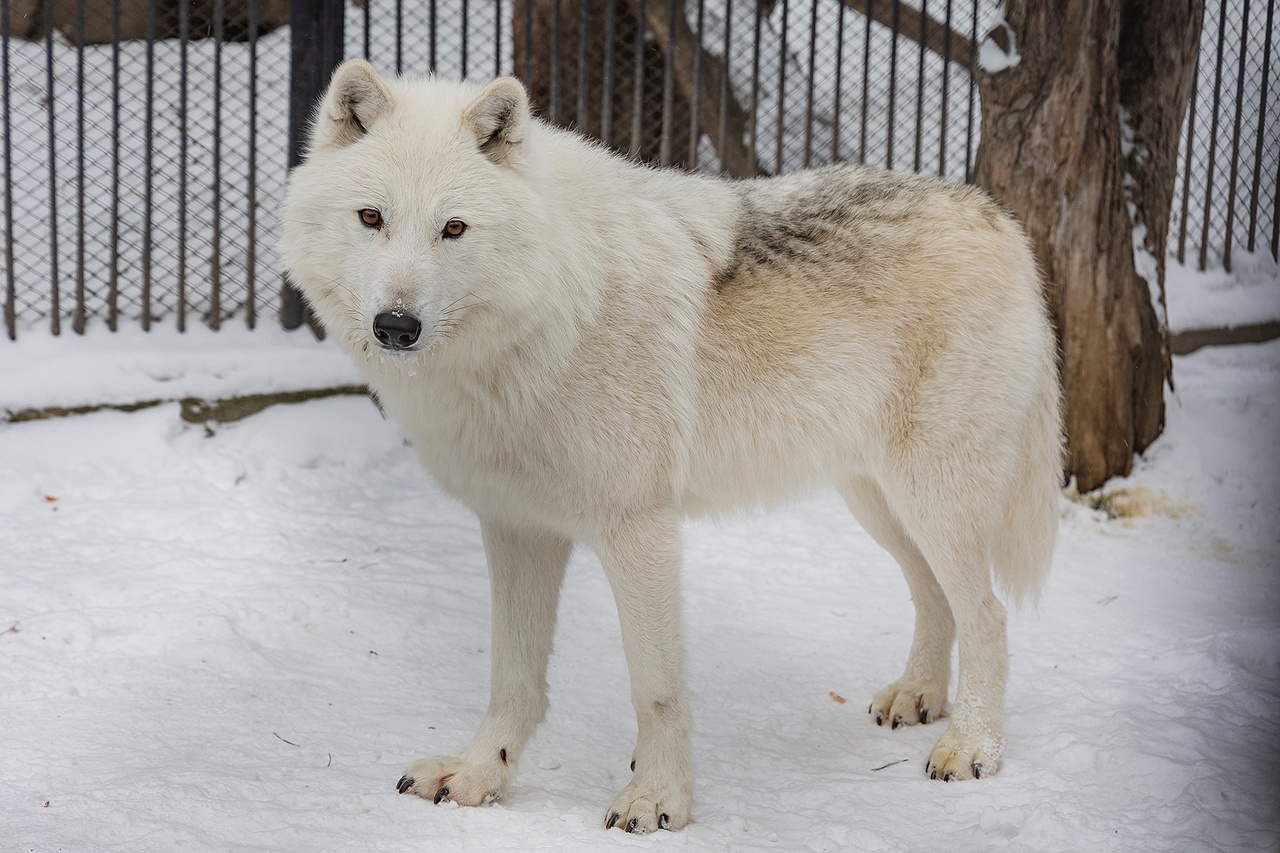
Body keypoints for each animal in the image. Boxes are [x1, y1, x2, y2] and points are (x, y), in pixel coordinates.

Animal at [282, 59, 1059, 829]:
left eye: (453, 228)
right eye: (372, 217)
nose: (396, 325)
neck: (546, 321)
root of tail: (996, 215)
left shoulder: (639, 531)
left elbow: (654, 688)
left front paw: (658, 800)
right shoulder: (517, 528)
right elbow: (512, 677)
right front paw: (479, 774)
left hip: (931, 499)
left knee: (988, 615)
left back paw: (971, 747)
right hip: (877, 502)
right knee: (935, 596)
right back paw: (919, 697)